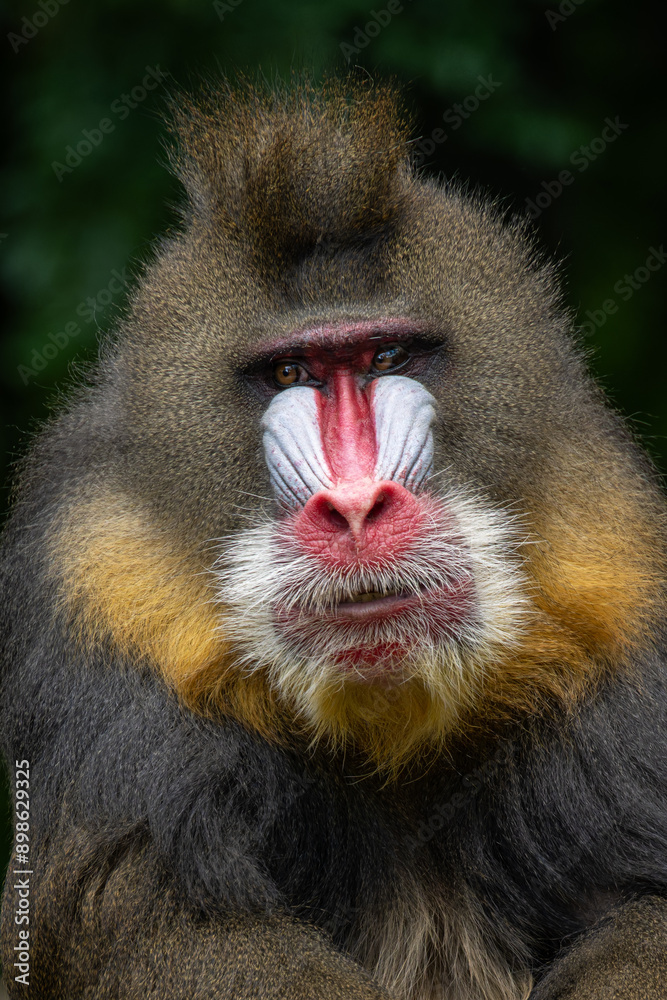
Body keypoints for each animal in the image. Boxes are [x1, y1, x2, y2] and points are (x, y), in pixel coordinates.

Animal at [1, 75, 667, 1000]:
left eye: (385, 356)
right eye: (290, 374)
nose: (354, 511)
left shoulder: (614, 580)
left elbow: (640, 905)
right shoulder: (101, 590)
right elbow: (173, 924)